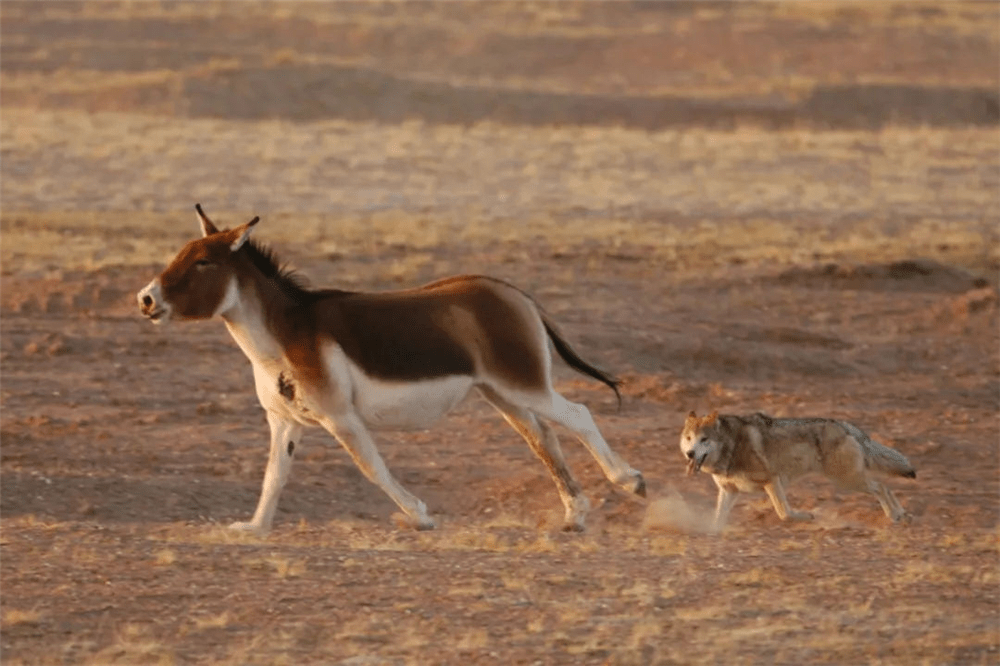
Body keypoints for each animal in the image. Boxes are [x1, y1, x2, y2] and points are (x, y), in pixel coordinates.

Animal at [680, 408, 916, 528]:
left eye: (704, 439)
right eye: (689, 438)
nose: (690, 454)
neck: (732, 445)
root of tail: (845, 425)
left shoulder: (772, 480)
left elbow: (784, 513)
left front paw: (808, 517)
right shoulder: (729, 491)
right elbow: (717, 518)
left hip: (847, 481)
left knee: (882, 487)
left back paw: (895, 515)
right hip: (850, 480)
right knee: (885, 486)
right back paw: (902, 515)